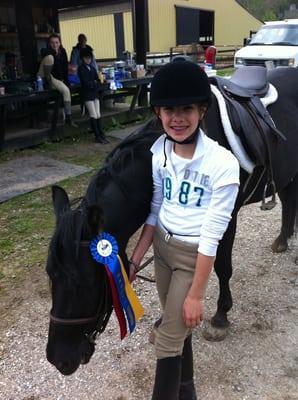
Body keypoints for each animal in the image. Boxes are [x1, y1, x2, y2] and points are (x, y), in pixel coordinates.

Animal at [45, 66, 296, 376]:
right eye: (50, 275)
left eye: (86, 282)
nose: (59, 359)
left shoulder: (225, 221)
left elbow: (222, 268)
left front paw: (220, 317)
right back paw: (283, 239)